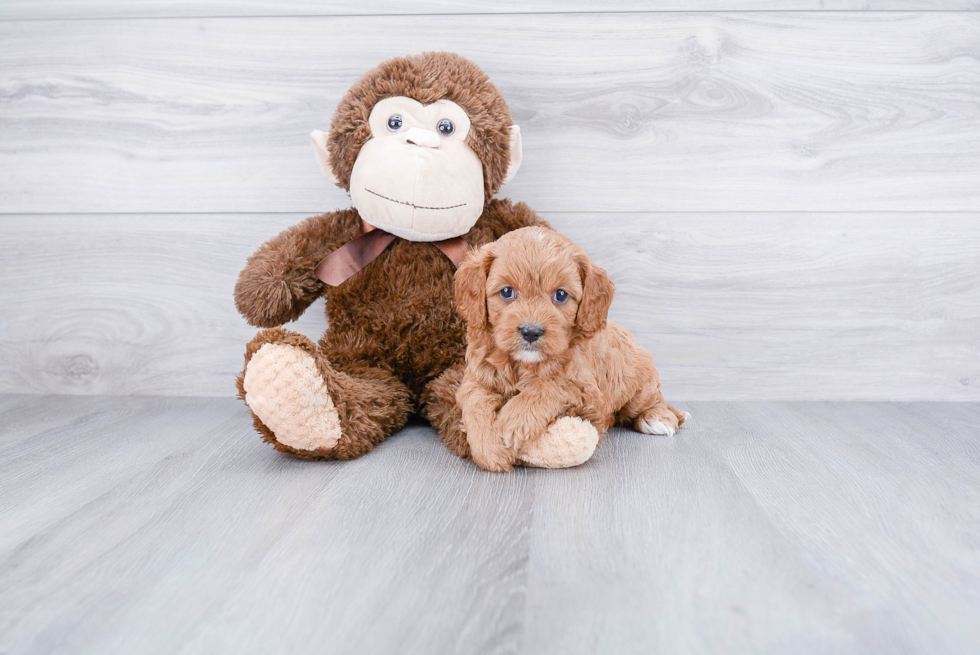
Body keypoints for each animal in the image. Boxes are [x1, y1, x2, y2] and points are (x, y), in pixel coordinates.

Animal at [454, 226, 688, 472]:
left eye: (561, 295)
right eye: (507, 292)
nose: (531, 332)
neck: (524, 363)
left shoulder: (585, 390)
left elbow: (550, 385)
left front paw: (513, 421)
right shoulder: (476, 378)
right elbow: (475, 403)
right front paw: (489, 448)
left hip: (638, 384)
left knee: (654, 401)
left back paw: (658, 418)